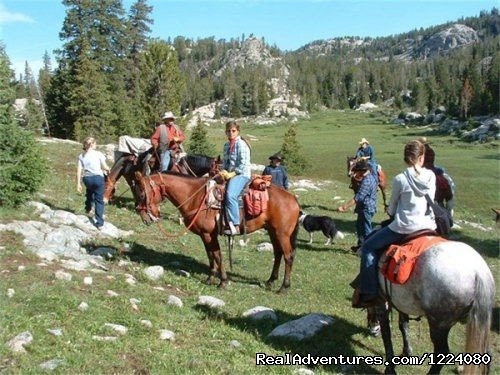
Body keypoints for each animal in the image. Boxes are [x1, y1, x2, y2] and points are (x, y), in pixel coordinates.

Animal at [136, 173, 300, 294]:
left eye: (143, 194)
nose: (144, 218)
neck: (196, 197)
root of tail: (293, 198)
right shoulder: (204, 235)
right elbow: (210, 255)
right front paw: (210, 278)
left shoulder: (209, 234)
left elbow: (217, 255)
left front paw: (222, 282)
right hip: (272, 231)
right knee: (278, 254)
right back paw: (270, 281)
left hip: (282, 234)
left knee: (288, 256)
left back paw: (284, 287)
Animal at [374, 241, 494, 375]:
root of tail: (479, 272)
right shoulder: (400, 304)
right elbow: (403, 326)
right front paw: (406, 352)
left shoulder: (381, 302)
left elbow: (386, 332)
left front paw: (390, 368)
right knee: (486, 351)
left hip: (439, 325)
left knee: (442, 353)